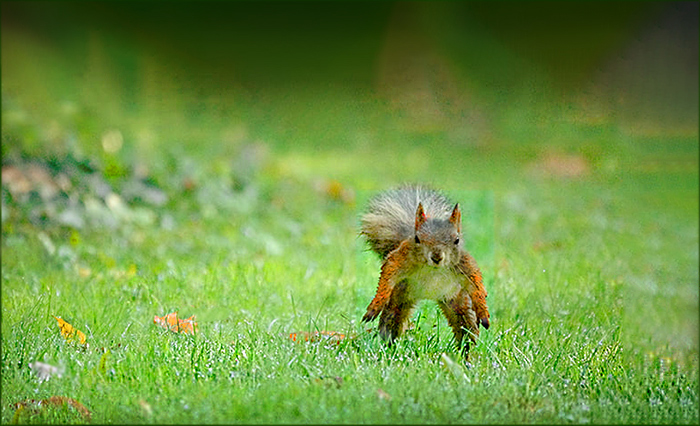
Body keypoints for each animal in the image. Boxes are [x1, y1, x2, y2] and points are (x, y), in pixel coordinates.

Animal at [360, 185, 490, 356]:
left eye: (457, 240)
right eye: (417, 238)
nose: (436, 256)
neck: (433, 269)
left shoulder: (464, 264)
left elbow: (476, 281)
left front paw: (483, 310)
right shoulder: (401, 259)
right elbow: (388, 272)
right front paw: (375, 304)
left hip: (457, 300)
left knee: (465, 329)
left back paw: (465, 356)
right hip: (399, 298)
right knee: (391, 322)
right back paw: (391, 351)